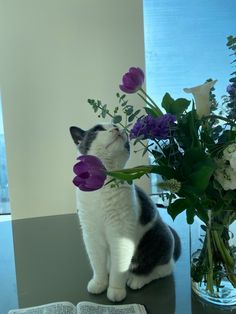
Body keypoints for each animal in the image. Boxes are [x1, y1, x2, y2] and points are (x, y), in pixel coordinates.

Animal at [69, 122, 181, 302]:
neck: (103, 185)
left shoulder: (120, 235)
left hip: (159, 237)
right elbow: (97, 263)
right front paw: (99, 283)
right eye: (98, 129)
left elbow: (119, 268)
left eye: (114, 125)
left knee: (163, 269)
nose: (116, 128)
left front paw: (115, 290)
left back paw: (136, 279)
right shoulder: (91, 235)